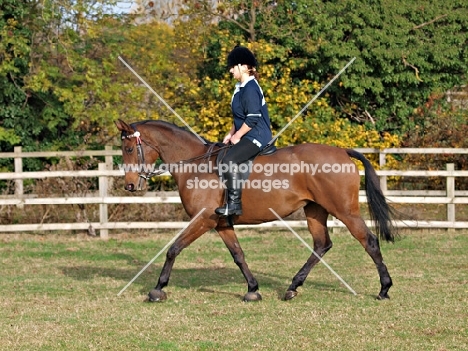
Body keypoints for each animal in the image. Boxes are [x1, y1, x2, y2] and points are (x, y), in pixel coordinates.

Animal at [115, 119, 394, 302]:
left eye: (128, 149)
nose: (130, 185)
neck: (196, 165)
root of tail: (342, 151)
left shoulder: (203, 220)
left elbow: (173, 249)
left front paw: (158, 288)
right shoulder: (221, 223)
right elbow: (238, 255)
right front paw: (252, 289)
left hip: (345, 211)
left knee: (369, 241)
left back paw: (384, 289)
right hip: (315, 210)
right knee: (321, 245)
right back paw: (293, 286)